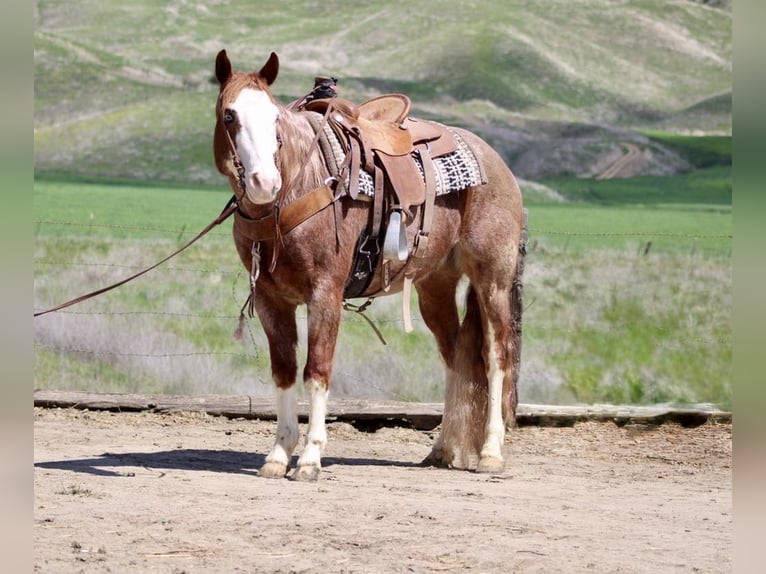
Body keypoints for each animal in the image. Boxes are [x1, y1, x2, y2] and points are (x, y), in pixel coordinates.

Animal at [213, 49, 526, 481]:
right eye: (229, 115)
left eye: (274, 117)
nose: (263, 182)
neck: (300, 185)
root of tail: (498, 163)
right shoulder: (270, 300)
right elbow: (284, 372)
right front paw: (278, 455)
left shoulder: (324, 294)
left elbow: (316, 372)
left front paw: (309, 459)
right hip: (436, 287)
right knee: (455, 359)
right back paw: (442, 450)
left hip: (492, 279)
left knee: (496, 358)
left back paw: (491, 453)